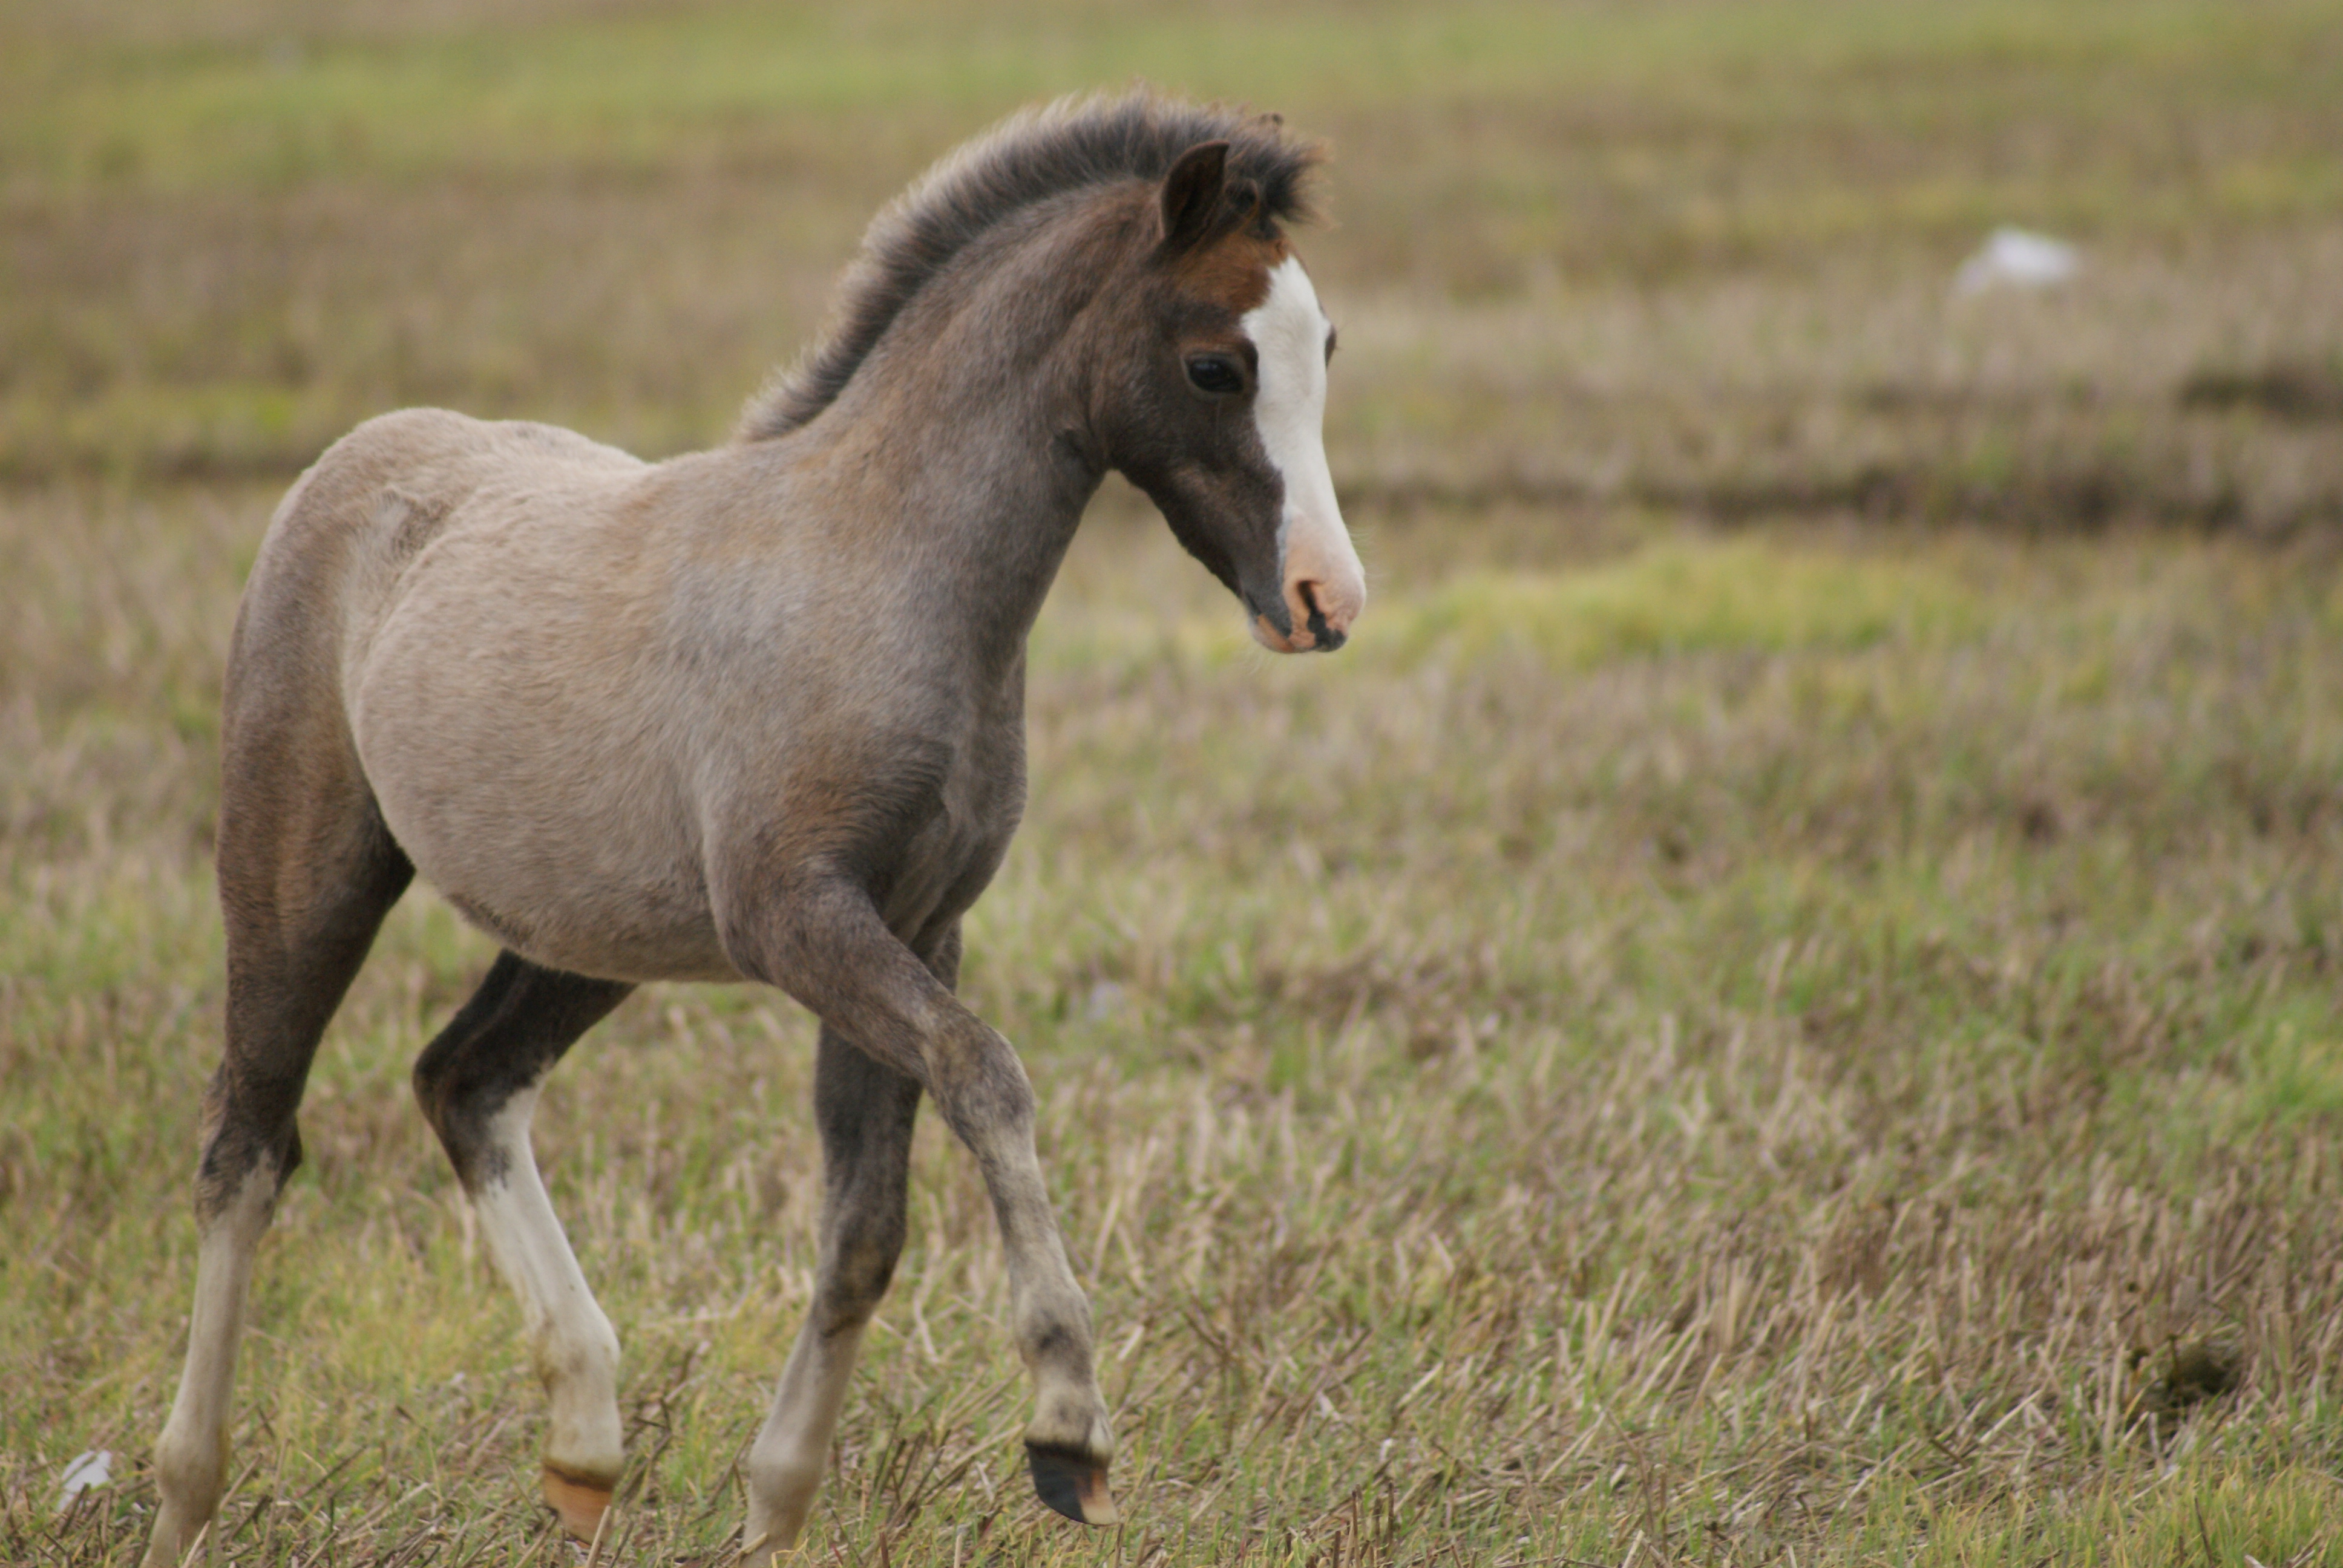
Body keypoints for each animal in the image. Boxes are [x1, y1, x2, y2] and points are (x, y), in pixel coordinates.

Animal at [140, 90, 1364, 1567]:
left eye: (1324, 348)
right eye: (1212, 368)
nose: (1326, 599)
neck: (884, 570)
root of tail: (353, 454)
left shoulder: (919, 927)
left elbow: (867, 1223)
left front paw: (778, 1495)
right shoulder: (798, 919)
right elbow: (989, 1076)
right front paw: (1069, 1430)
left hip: (581, 933)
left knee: (462, 1079)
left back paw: (584, 1446)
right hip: (301, 876)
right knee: (247, 1145)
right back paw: (187, 1488)